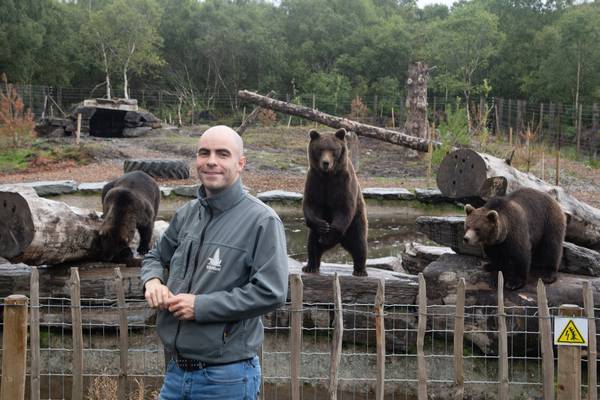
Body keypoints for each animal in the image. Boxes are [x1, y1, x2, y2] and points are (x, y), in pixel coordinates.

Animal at [302, 128, 368, 276]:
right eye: (320, 149)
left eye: (333, 150)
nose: (325, 163)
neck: (328, 176)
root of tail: (340, 241)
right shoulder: (315, 181)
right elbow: (311, 204)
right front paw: (323, 225)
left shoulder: (343, 183)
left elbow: (344, 208)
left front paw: (328, 232)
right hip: (314, 234)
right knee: (313, 244)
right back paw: (310, 266)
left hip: (355, 223)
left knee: (359, 244)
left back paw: (360, 270)